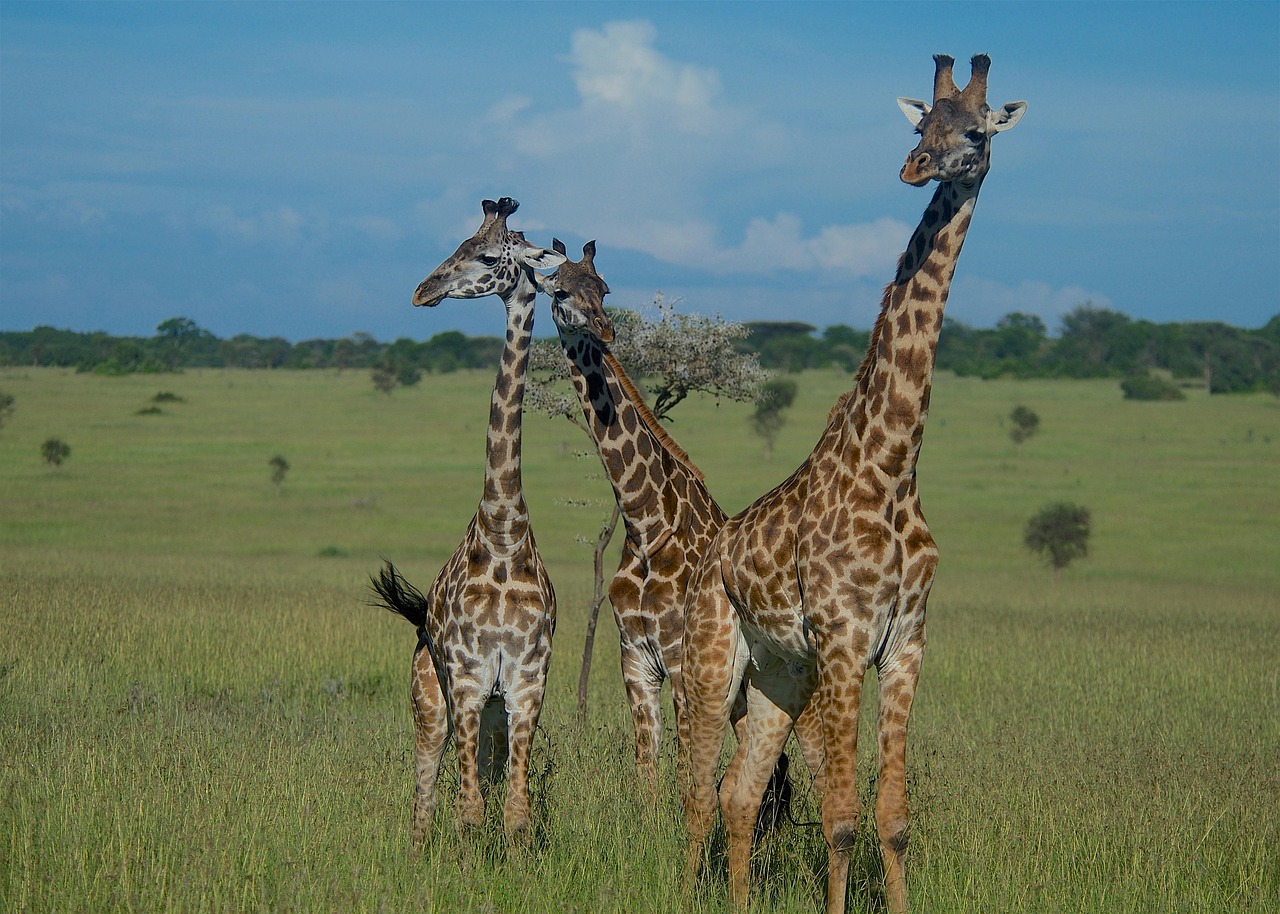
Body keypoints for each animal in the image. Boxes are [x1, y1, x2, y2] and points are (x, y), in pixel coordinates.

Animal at [371, 196, 566, 844]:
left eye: (484, 256)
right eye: (457, 245)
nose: (422, 290)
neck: (503, 533)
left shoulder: (526, 684)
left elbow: (514, 813)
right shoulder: (466, 677)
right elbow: (467, 812)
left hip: (493, 712)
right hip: (431, 699)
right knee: (425, 794)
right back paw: (416, 850)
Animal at [537, 240, 825, 803]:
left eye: (603, 287)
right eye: (558, 290)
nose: (605, 328)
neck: (646, 522)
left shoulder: (679, 656)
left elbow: (685, 765)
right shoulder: (635, 658)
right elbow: (647, 764)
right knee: (772, 770)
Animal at [680, 55, 1026, 914]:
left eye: (974, 133)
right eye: (921, 124)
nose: (916, 166)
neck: (892, 464)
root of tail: (708, 556)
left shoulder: (905, 642)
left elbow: (892, 819)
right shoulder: (843, 639)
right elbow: (838, 820)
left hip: (779, 674)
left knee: (737, 794)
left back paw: (739, 900)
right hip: (715, 658)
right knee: (697, 791)